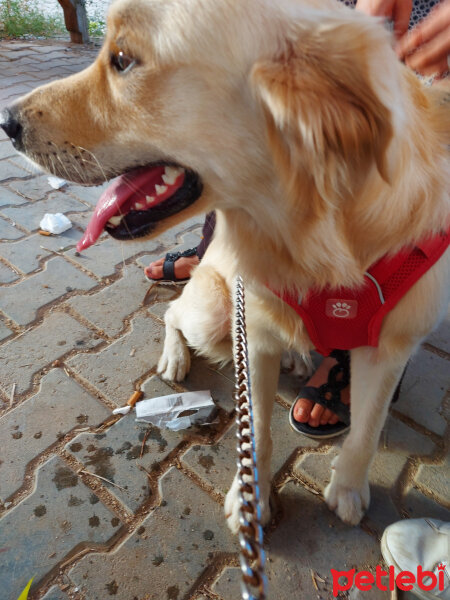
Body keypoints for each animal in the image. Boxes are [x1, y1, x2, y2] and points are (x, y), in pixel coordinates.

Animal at [1, 0, 448, 532]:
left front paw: (348, 489)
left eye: (123, 59)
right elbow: (257, 428)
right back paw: (177, 356)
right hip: (214, 313)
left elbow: (365, 430)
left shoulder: (389, 348)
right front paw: (250, 497)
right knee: (172, 313)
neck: (309, 238)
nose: (6, 120)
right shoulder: (251, 336)